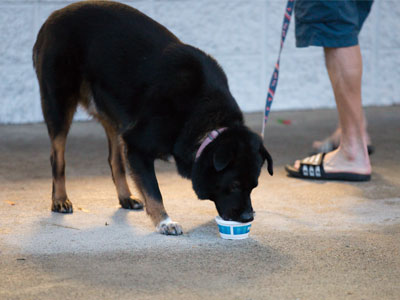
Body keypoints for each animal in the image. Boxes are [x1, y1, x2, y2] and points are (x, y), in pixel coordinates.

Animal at [33, 0, 272, 234]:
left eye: (254, 186)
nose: (248, 217)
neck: (205, 119)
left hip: (113, 114)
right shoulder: (137, 146)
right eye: (234, 185)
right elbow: (153, 190)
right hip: (58, 104)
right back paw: (60, 199)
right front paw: (165, 222)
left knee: (115, 159)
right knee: (58, 156)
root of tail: (51, 18)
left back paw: (125, 197)